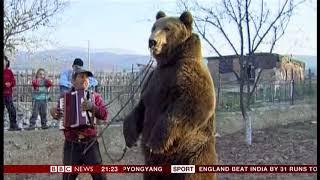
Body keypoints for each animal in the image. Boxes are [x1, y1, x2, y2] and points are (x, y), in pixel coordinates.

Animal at [122, 11, 218, 180]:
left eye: (167, 28)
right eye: (153, 27)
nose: (152, 41)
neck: (170, 61)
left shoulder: (188, 74)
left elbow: (193, 104)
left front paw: (156, 142)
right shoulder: (153, 80)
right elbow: (141, 106)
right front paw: (130, 136)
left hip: (192, 152)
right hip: (152, 165)